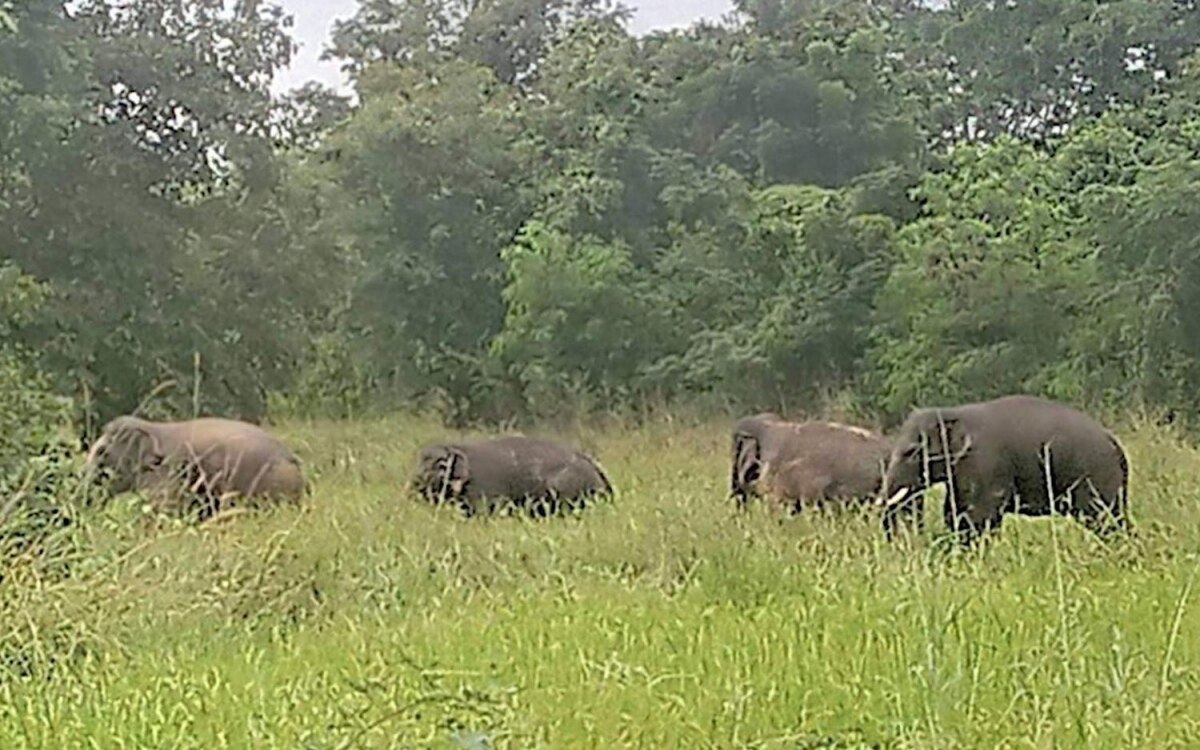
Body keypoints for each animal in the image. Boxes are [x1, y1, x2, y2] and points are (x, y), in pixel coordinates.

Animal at [878, 391, 1128, 544]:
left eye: (912, 453)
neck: (953, 412)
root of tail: (1115, 443)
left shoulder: (985, 464)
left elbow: (980, 515)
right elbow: (954, 511)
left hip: (1095, 476)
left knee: (1101, 518)